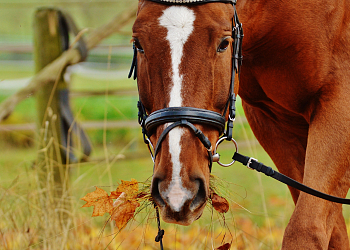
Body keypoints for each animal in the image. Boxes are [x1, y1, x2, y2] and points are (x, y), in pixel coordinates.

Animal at [131, 0, 350, 248]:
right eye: (138, 44)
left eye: (224, 43)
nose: (178, 191)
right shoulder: (272, 121)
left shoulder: (339, 104)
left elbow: (306, 229)